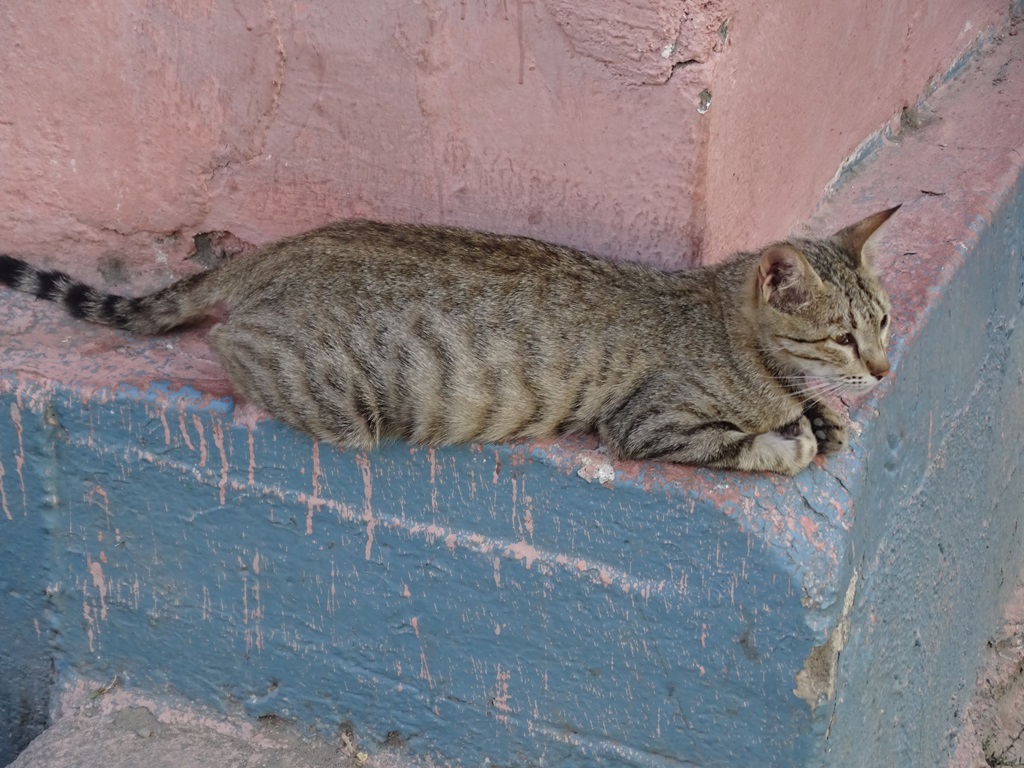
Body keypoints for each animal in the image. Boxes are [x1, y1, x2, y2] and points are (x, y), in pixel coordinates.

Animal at [0, 207, 897, 479]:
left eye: (885, 322)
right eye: (843, 337)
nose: (886, 371)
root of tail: (281, 249)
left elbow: (816, 415)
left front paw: (825, 418)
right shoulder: (648, 424)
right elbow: (751, 444)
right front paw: (793, 438)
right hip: (340, 401)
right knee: (228, 346)